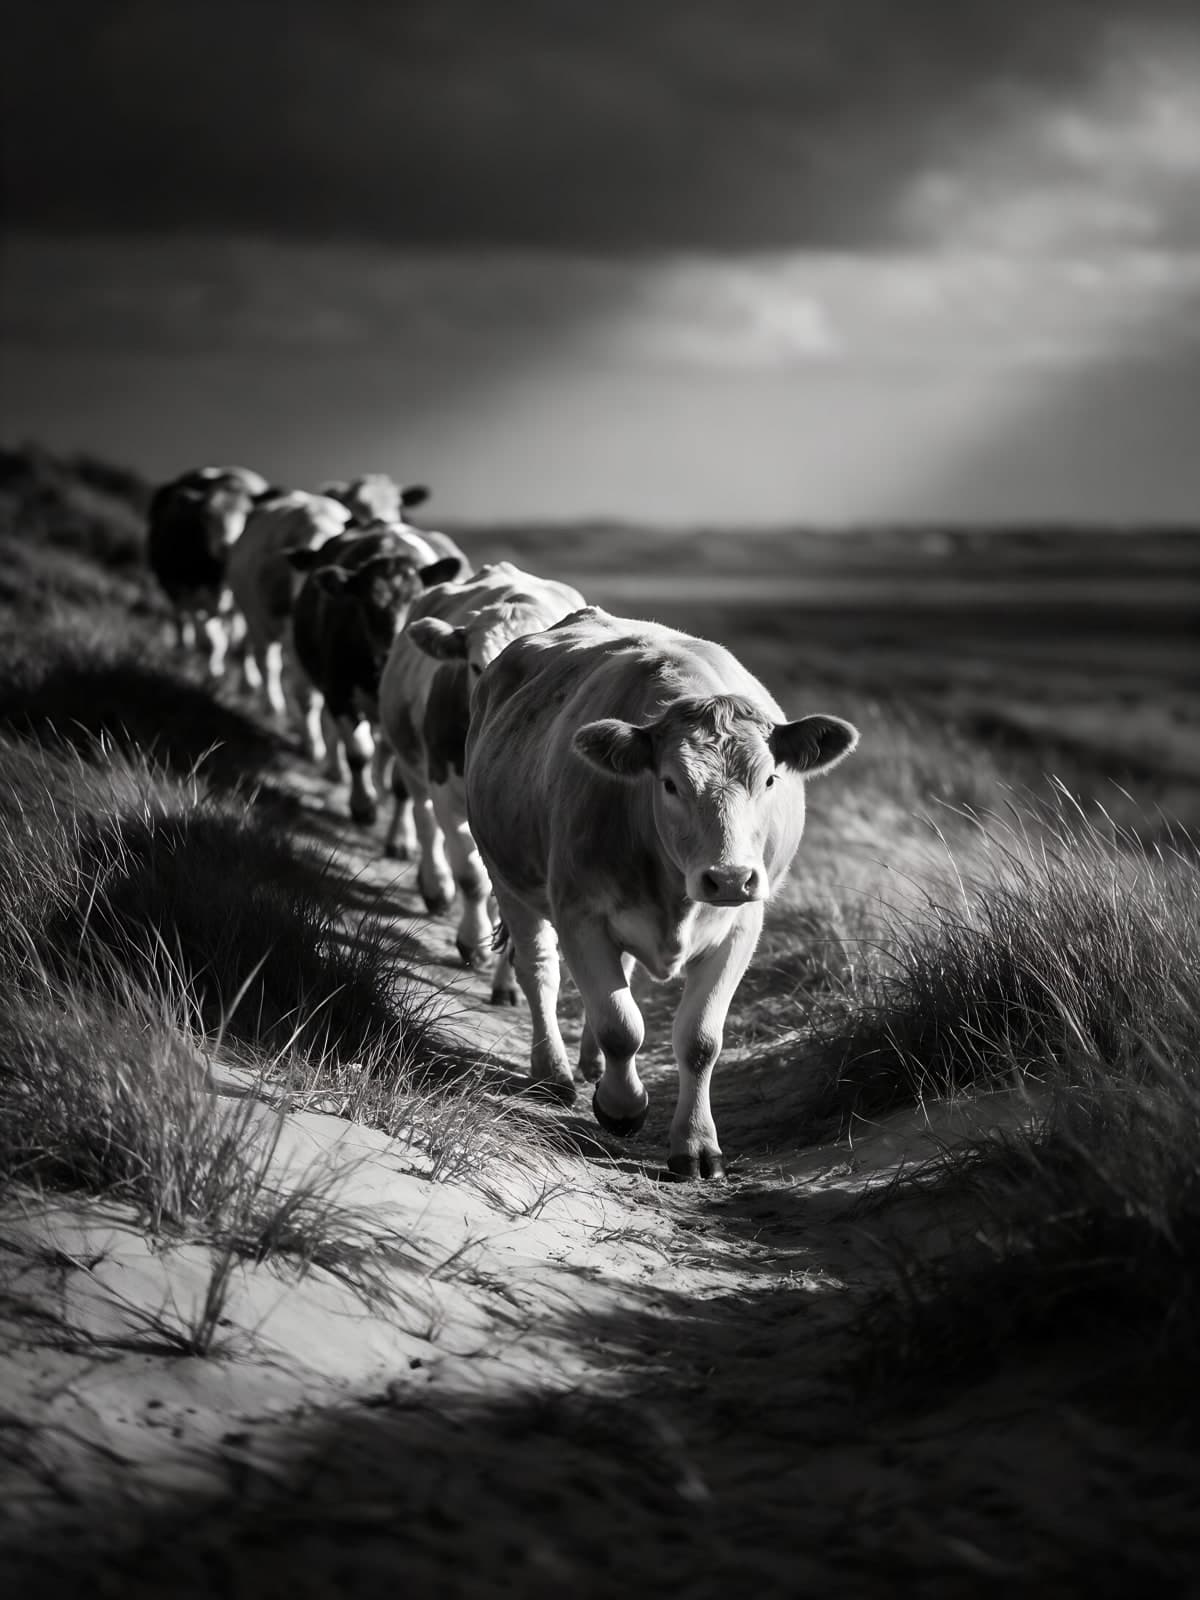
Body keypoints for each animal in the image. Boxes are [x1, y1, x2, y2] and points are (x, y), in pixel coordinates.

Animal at [146, 465, 269, 676]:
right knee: (183, 619)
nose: (227, 546)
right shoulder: (183, 590)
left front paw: (247, 676)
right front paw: (213, 668)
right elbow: (214, 638)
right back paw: (184, 647)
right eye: (207, 515)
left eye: (248, 516)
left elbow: (242, 643)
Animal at [286, 525, 466, 826]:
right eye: (367, 603)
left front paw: (400, 832)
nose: (393, 649)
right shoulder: (339, 692)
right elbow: (358, 753)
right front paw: (362, 805)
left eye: (418, 601)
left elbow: (401, 783)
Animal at [378, 562, 586, 1002]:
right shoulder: (445, 789)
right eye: (475, 664)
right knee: (423, 818)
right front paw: (472, 942)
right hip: (413, 764)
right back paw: (435, 886)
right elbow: (471, 877)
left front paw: (505, 977)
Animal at [465, 607, 859, 1179]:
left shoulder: (742, 927)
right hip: (507, 874)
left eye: (769, 780)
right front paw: (622, 1108)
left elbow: (699, 1040)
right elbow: (621, 1025)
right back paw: (554, 1072)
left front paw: (695, 1145)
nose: (730, 878)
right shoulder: (579, 914)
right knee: (538, 970)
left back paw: (590, 1065)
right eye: (670, 783)